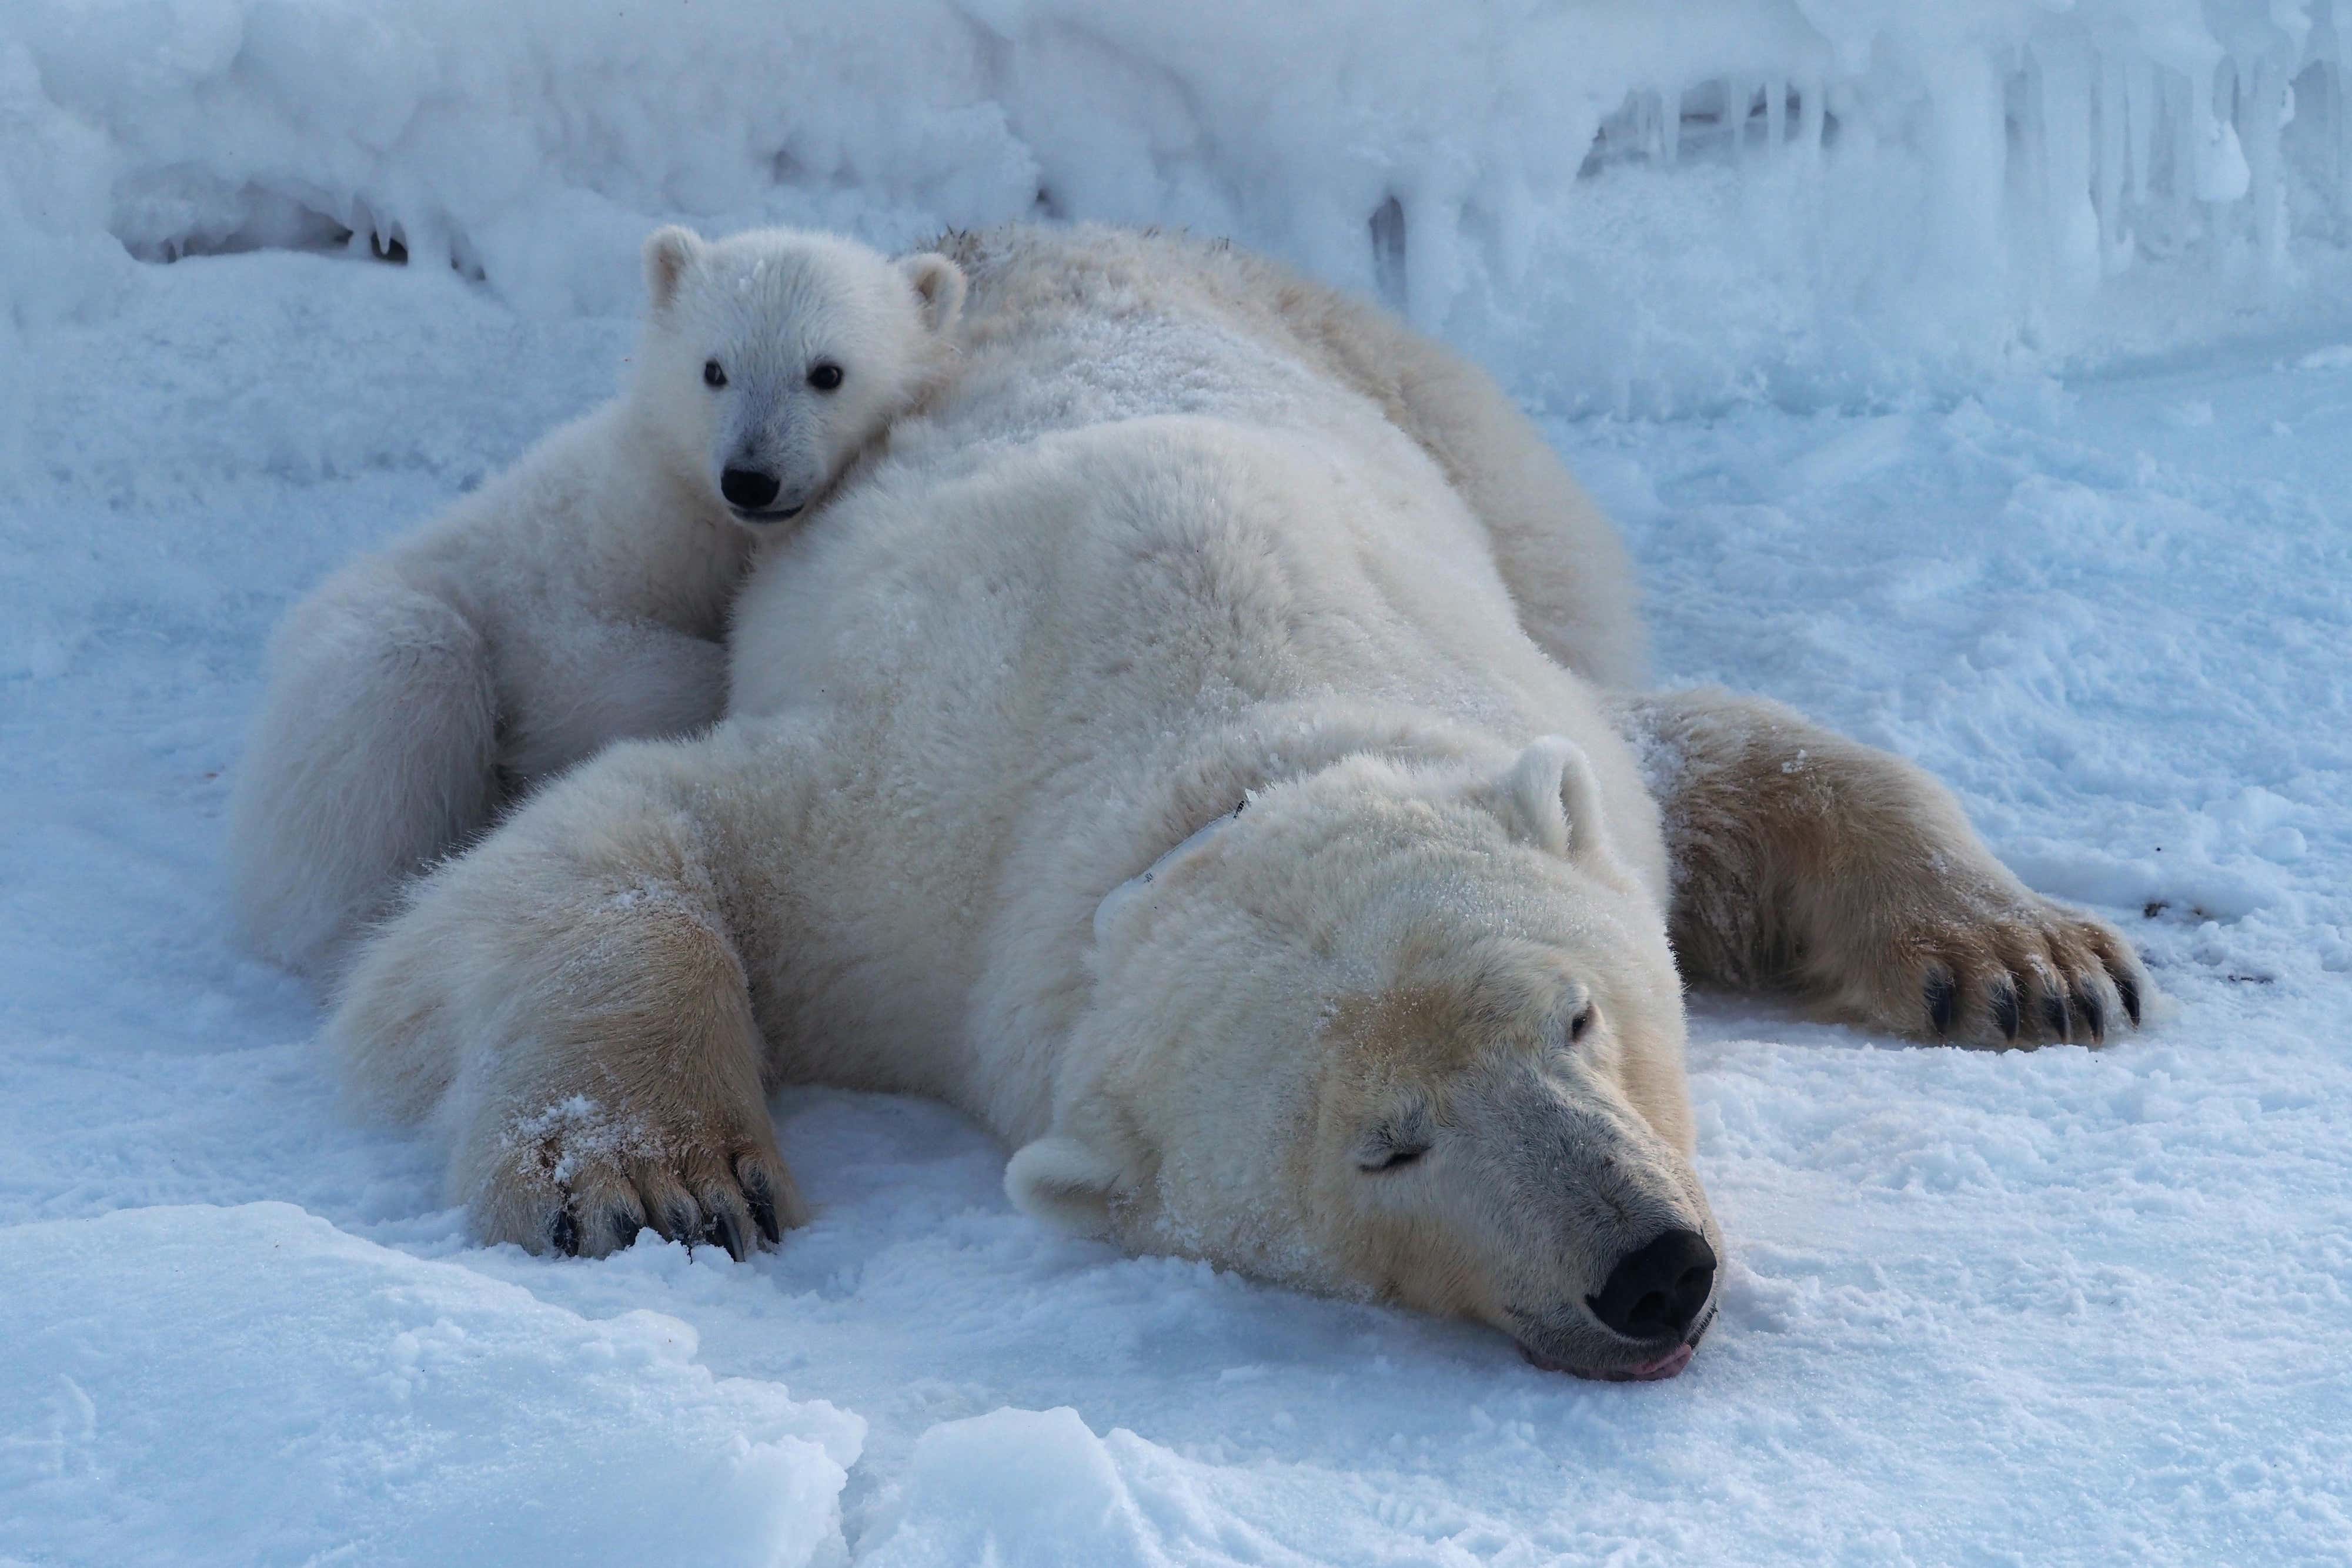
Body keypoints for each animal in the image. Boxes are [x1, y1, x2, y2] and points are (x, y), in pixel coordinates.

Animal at [225, 224, 968, 980]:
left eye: (826, 372)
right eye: (714, 369)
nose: (750, 478)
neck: (697, 512)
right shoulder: (587, 554)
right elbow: (585, 666)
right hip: (379, 629)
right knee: (394, 699)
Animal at [325, 224, 2144, 1382]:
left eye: (1575, 1016)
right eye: (1386, 1147)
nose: (1649, 1271)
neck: (1221, 723)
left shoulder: (1507, 696)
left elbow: (1721, 759)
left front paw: (2030, 965)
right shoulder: (912, 854)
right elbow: (621, 840)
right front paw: (660, 1182)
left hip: (1442, 412)